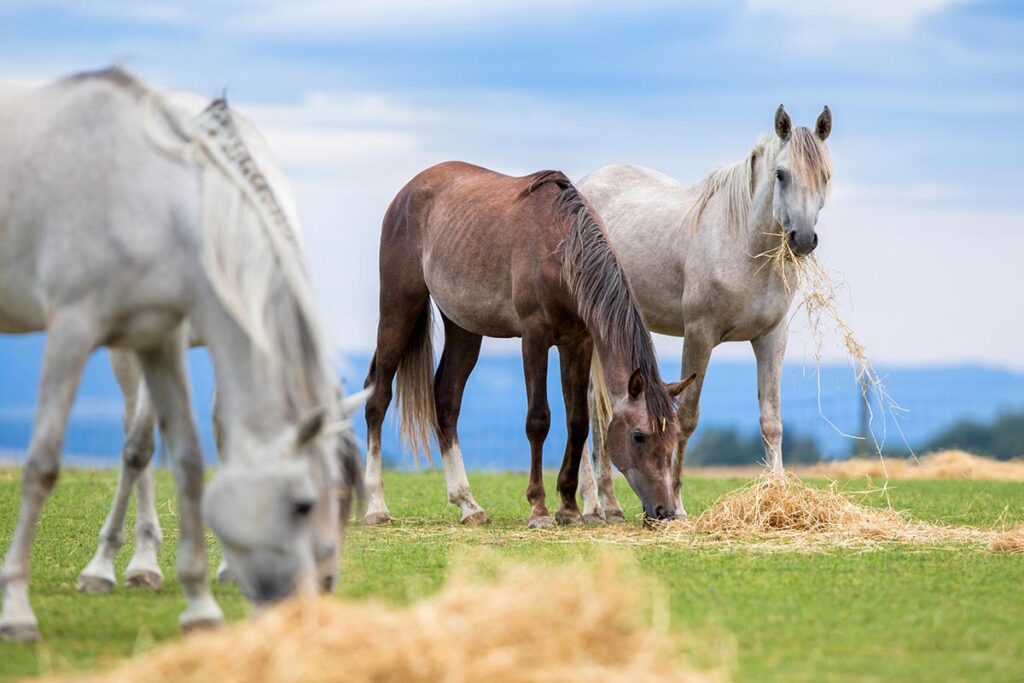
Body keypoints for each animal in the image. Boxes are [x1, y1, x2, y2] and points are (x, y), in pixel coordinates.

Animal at [0, 68, 357, 641]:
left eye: (346, 496)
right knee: (136, 443)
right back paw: (127, 565)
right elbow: (139, 448)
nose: (322, 585)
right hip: (122, 351)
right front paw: (114, 567)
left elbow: (212, 441)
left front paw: (225, 569)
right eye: (308, 502)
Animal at [363, 162, 694, 528]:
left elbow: (577, 422)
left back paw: (468, 505)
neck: (562, 247)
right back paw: (376, 506)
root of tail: (408, 191)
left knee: (446, 400)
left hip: (464, 327)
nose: (665, 512)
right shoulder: (534, 338)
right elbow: (539, 420)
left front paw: (569, 508)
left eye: (672, 435)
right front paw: (539, 509)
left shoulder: (578, 343)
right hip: (399, 307)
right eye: (638, 435)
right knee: (377, 396)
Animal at [577, 105, 833, 519]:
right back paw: (591, 503)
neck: (742, 244)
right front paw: (679, 505)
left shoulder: (771, 338)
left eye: (825, 176)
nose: (804, 239)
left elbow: (772, 420)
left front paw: (778, 495)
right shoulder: (700, 335)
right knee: (586, 409)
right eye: (781, 174)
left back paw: (607, 503)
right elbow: (686, 419)